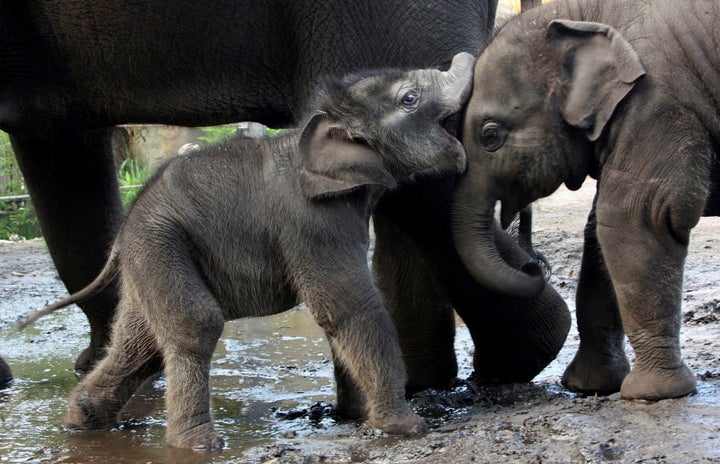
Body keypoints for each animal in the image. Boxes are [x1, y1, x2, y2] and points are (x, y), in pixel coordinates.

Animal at [23, 54, 472, 450]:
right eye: (409, 98)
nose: (466, 55)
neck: (323, 125)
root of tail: (123, 233)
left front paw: (359, 416)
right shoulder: (312, 223)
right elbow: (349, 306)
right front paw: (406, 426)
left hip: (149, 257)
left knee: (141, 343)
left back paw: (82, 422)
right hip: (160, 243)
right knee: (195, 324)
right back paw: (197, 444)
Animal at [452, 0, 716, 400]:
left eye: (490, 135)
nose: (533, 264)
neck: (582, 13)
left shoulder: (656, 102)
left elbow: (634, 217)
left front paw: (653, 393)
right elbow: (598, 237)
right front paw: (589, 386)